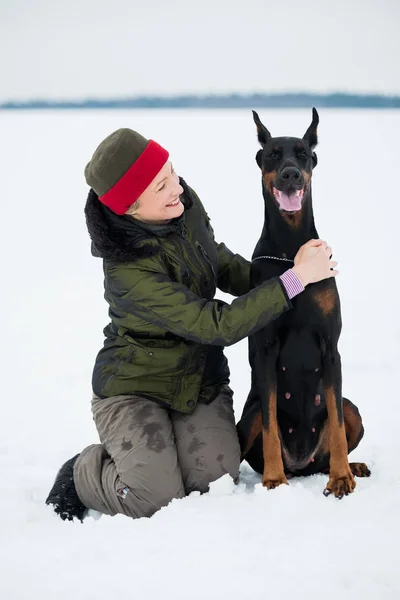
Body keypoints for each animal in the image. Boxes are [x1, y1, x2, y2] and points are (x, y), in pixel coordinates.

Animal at [236, 110, 370, 500]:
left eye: (304, 155)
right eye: (272, 155)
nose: (291, 174)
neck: (291, 253)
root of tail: (301, 464)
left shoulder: (329, 347)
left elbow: (337, 426)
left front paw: (341, 477)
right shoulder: (266, 349)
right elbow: (269, 423)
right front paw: (272, 480)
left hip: (352, 410)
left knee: (336, 432)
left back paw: (350, 466)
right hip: (247, 416)